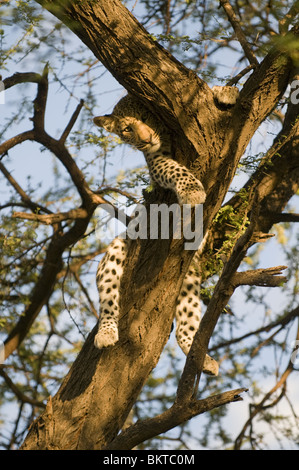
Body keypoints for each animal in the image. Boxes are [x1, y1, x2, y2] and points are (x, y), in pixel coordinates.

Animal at [93, 86, 239, 376]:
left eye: (148, 116)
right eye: (127, 129)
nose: (146, 139)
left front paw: (225, 92)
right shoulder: (156, 161)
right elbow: (174, 169)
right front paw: (192, 191)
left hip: (190, 276)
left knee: (187, 323)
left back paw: (200, 357)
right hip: (118, 249)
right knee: (108, 299)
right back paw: (105, 333)